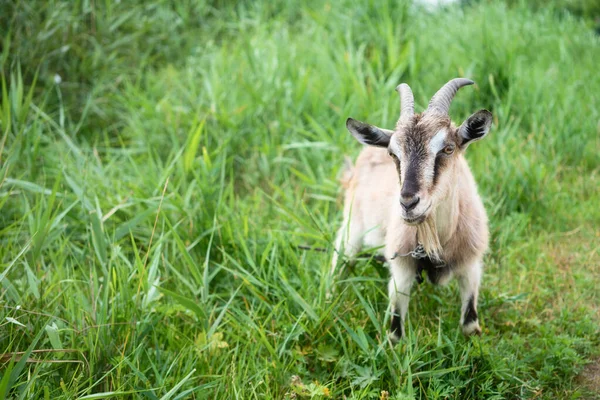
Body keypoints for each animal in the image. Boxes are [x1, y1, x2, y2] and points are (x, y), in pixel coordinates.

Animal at [332, 78, 492, 340]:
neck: (440, 241)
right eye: (393, 153)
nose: (408, 203)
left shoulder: (471, 266)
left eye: (448, 148)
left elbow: (470, 325)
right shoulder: (401, 272)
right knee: (339, 263)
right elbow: (395, 334)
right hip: (351, 228)